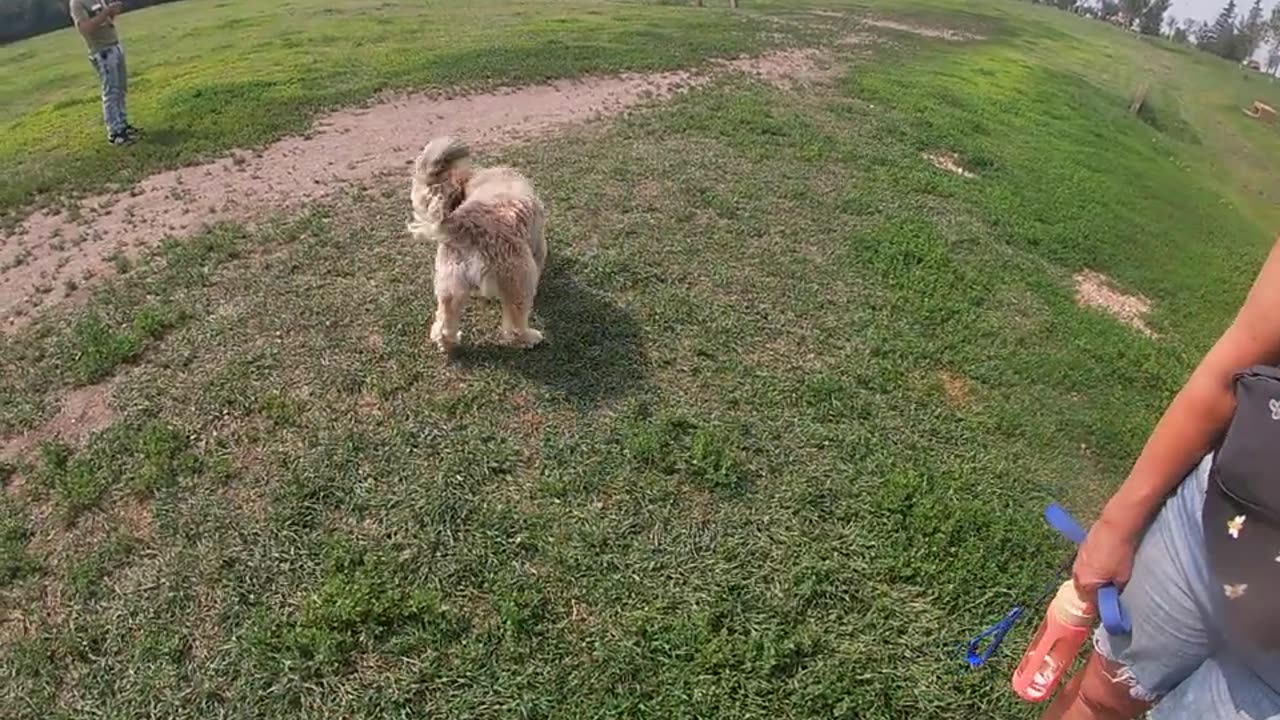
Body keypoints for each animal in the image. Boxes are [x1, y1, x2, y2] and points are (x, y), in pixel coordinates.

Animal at [407, 137, 547, 351]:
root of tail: (465, 225)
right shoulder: (538, 246)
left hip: (450, 286)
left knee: (444, 325)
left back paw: (449, 343)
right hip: (519, 278)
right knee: (515, 325)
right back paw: (529, 338)